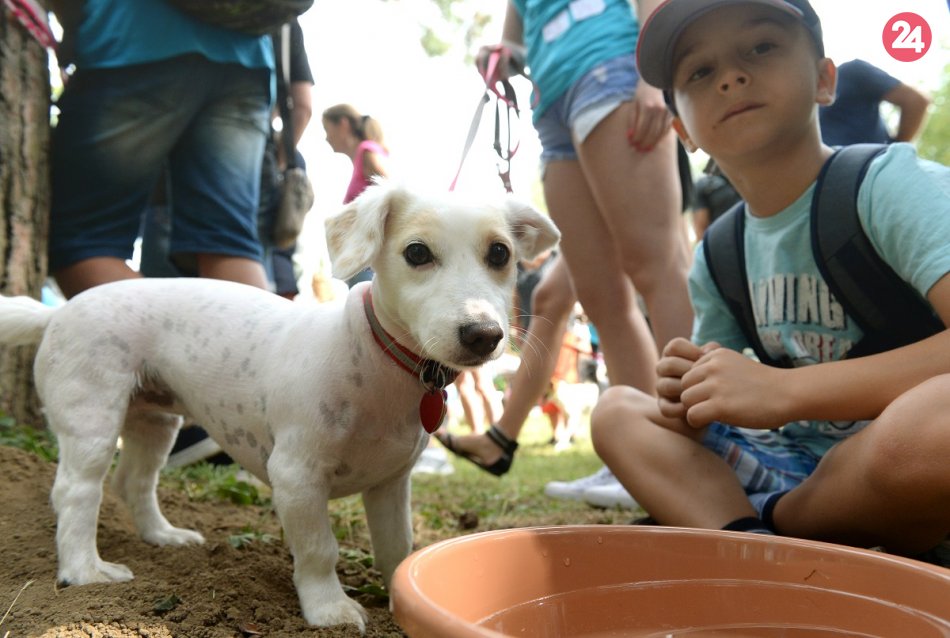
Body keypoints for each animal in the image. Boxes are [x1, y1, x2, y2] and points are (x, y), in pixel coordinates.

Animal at [0, 181, 559, 632]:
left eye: (500, 253)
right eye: (417, 252)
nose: (484, 335)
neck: (375, 361)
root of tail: (57, 313)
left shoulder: (389, 486)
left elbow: (396, 548)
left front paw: (401, 595)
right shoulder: (296, 477)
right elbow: (318, 549)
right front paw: (329, 610)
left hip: (155, 420)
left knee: (133, 482)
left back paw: (163, 536)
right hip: (93, 419)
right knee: (76, 492)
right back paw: (85, 571)